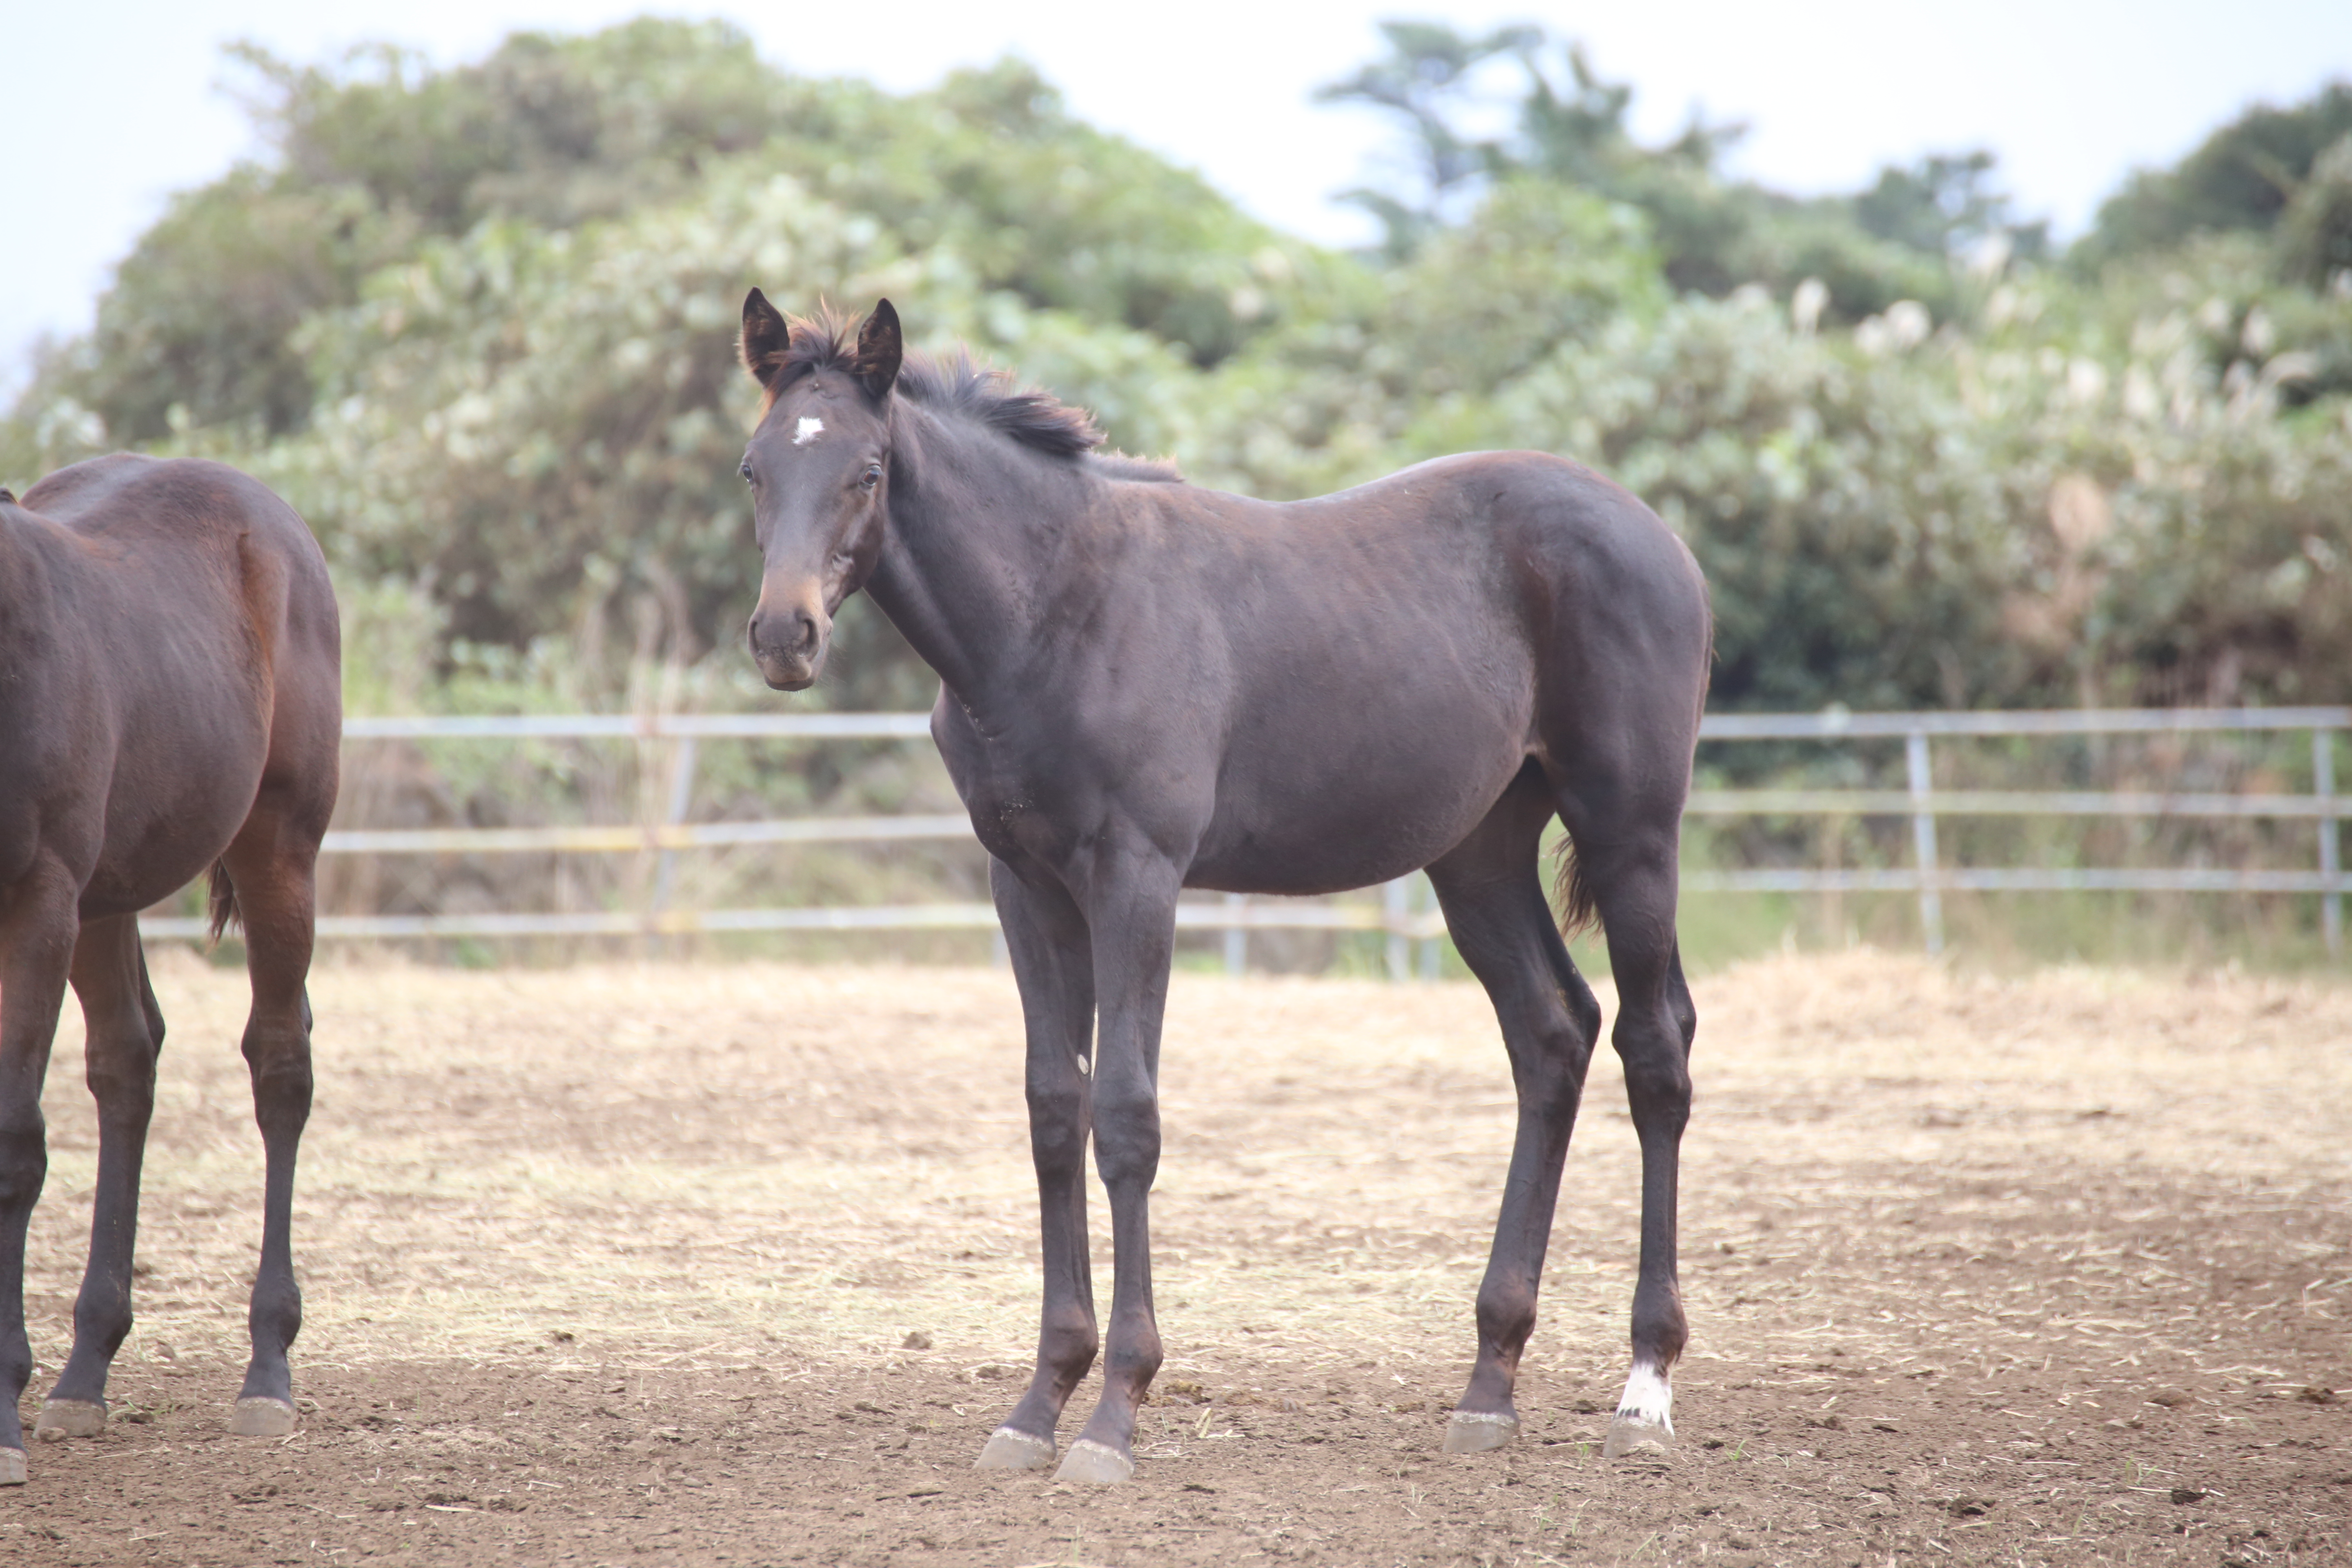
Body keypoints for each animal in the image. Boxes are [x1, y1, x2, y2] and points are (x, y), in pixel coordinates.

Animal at [0, 451, 341, 1486]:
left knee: (280, 1066)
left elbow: (14, 1143)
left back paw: (267, 1369)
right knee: (126, 1062)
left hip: (277, 851)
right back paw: (83, 1369)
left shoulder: (36, 903)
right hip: (103, 899)